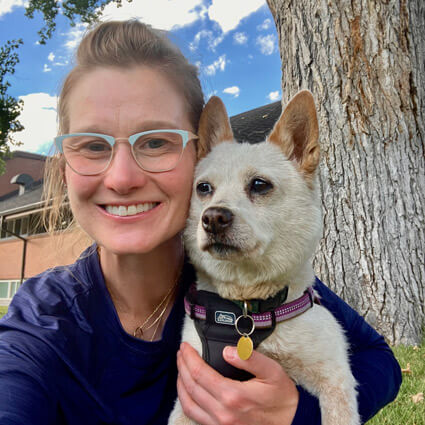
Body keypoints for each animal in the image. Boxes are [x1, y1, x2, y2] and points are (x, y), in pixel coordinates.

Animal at [167, 91, 360, 422]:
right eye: (203, 188)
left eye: (259, 184)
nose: (213, 218)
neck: (245, 306)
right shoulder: (188, 395)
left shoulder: (336, 379)